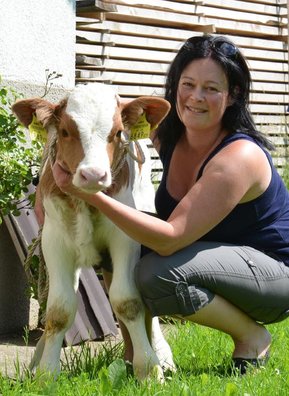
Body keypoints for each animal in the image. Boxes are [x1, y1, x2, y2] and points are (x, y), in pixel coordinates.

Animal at [12, 83, 174, 380]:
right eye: (65, 131)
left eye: (117, 133)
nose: (94, 175)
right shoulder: (54, 241)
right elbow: (58, 310)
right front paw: (46, 373)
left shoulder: (126, 239)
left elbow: (128, 301)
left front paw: (149, 369)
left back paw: (160, 355)